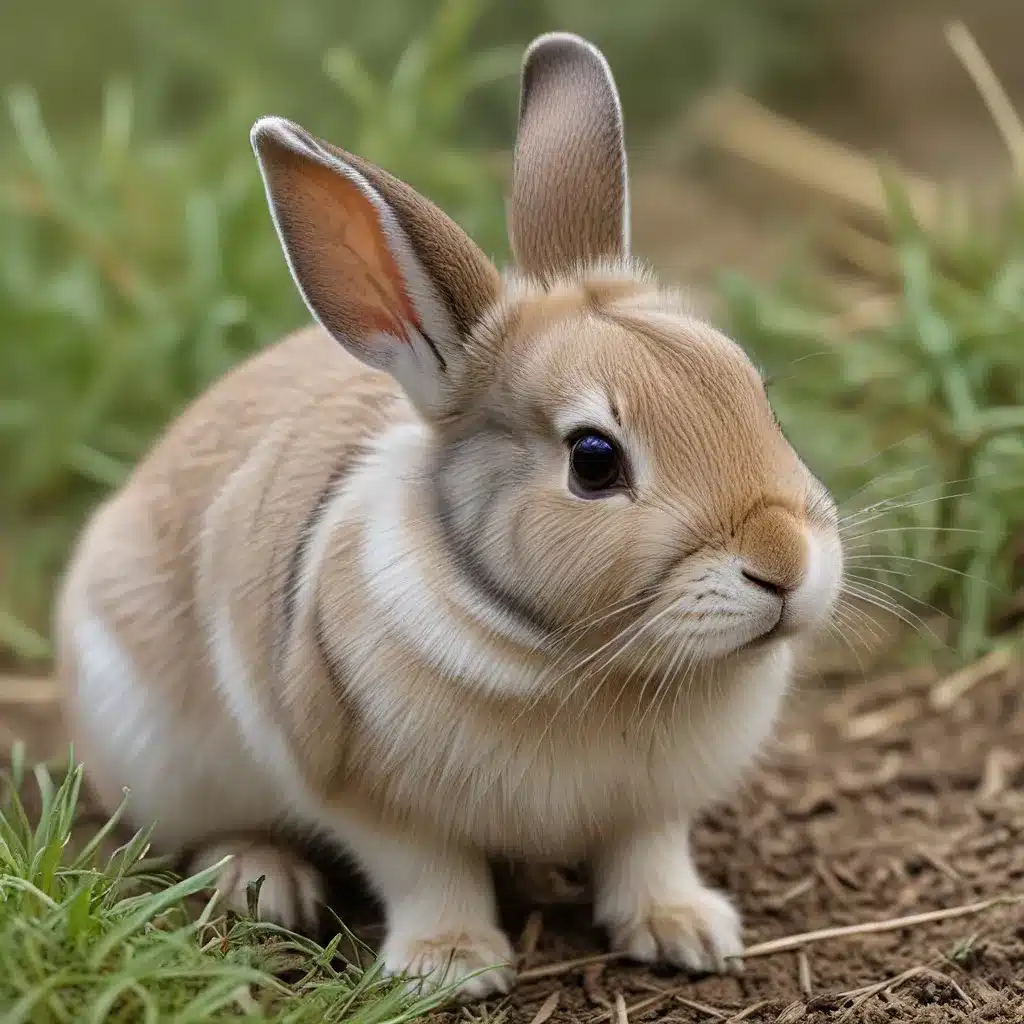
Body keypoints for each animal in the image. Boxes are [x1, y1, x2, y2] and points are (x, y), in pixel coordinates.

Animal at [51, 29, 843, 999]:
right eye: (594, 460)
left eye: (755, 394)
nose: (785, 562)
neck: (585, 662)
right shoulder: (375, 800)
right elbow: (431, 874)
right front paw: (452, 966)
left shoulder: (652, 806)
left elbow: (646, 855)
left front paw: (687, 930)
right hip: (160, 757)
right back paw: (265, 881)